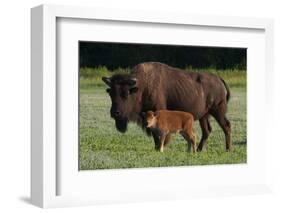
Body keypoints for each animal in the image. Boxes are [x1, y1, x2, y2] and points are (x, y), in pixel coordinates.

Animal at [101, 61, 230, 151]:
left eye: (125, 94)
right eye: (111, 93)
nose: (115, 113)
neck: (141, 88)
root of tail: (218, 79)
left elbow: (158, 134)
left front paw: (160, 148)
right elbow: (154, 134)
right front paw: (156, 148)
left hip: (218, 110)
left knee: (226, 126)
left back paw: (228, 149)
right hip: (204, 115)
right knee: (207, 131)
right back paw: (198, 150)